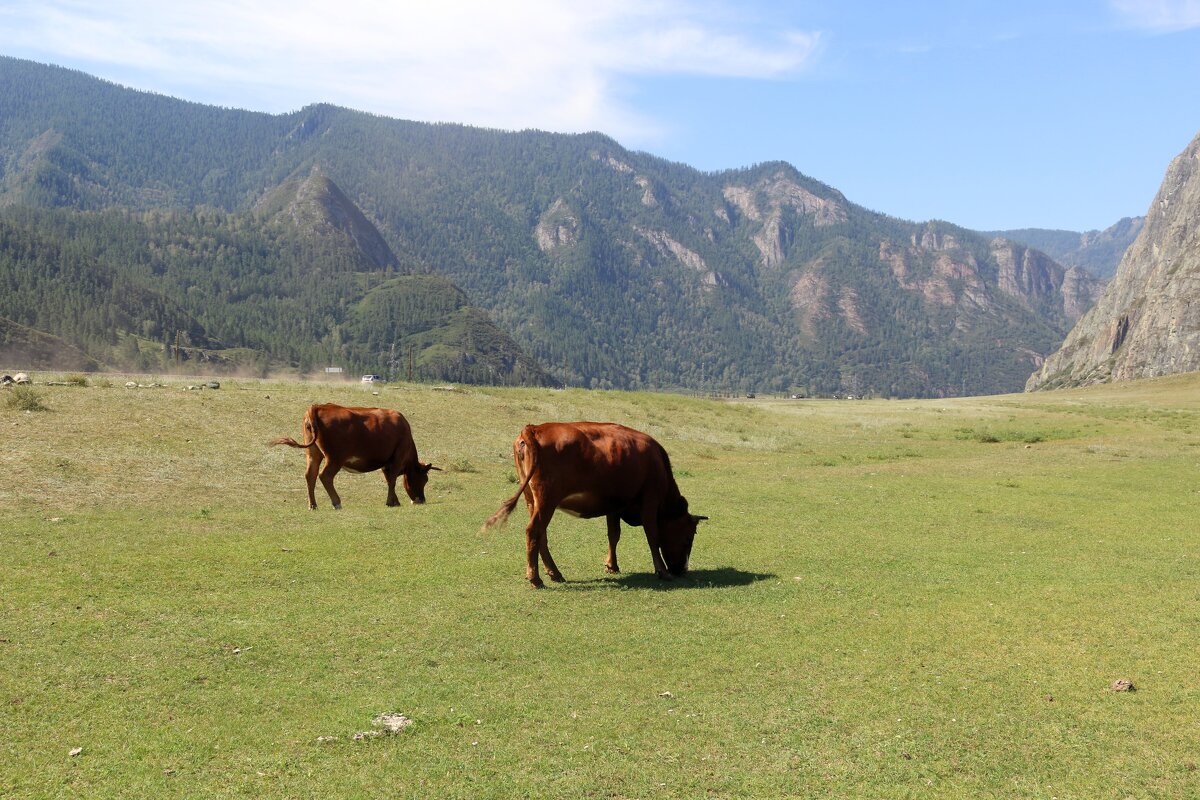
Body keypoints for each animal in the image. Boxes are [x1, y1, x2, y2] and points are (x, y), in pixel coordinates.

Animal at [270, 402, 439, 510]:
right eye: (424, 479)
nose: (421, 500)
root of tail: (318, 406)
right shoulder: (397, 458)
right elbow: (391, 480)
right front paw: (391, 502)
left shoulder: (386, 463)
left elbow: (388, 480)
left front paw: (394, 501)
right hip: (335, 458)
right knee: (325, 476)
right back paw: (336, 502)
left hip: (313, 454)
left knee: (310, 475)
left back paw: (313, 505)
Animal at [480, 422, 700, 585]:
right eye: (688, 538)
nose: (682, 570)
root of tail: (534, 428)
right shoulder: (650, 499)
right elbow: (652, 536)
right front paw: (662, 571)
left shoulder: (615, 505)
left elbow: (614, 534)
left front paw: (612, 566)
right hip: (546, 500)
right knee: (534, 531)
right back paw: (535, 578)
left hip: (532, 500)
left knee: (541, 534)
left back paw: (554, 573)